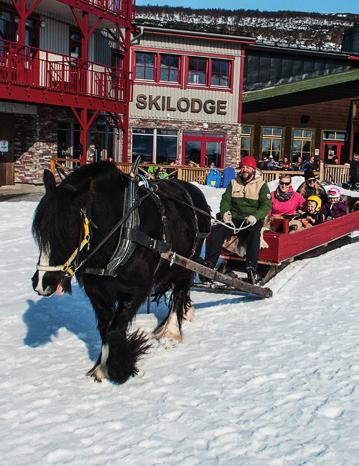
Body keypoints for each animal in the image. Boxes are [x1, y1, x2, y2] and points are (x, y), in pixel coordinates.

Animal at [31, 162, 211, 384]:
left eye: (69, 231)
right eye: (41, 231)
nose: (42, 283)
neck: (122, 230)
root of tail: (193, 190)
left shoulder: (136, 290)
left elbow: (116, 328)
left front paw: (119, 369)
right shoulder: (96, 291)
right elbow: (105, 328)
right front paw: (102, 367)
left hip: (186, 263)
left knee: (179, 292)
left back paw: (170, 332)